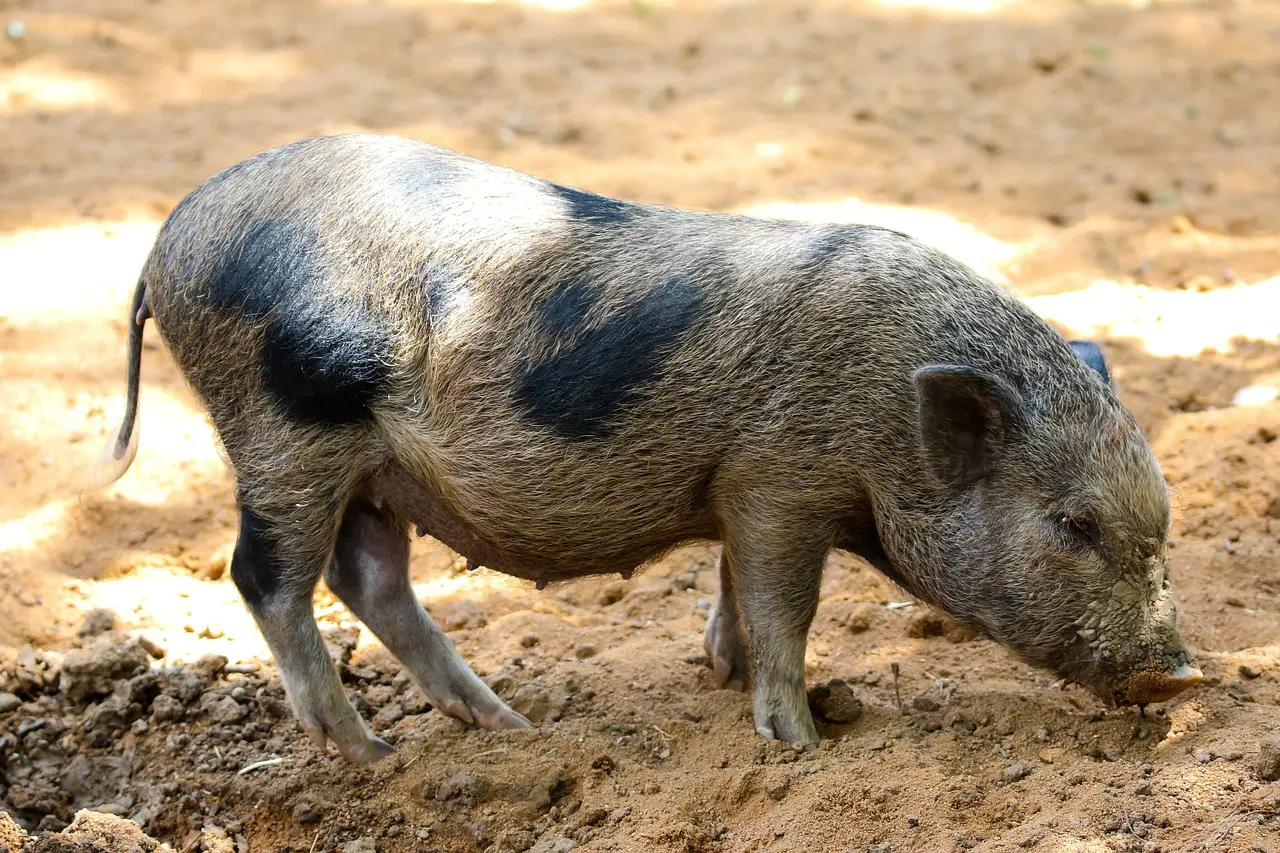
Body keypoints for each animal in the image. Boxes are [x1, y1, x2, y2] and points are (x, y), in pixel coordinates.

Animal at [90, 134, 1198, 763]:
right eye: (1071, 521)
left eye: (1161, 528)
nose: (1181, 676)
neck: (888, 404)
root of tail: (169, 238)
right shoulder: (780, 480)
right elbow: (782, 603)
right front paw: (800, 742)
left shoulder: (743, 490)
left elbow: (736, 589)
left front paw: (729, 677)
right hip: (286, 427)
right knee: (267, 576)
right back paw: (367, 752)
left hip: (372, 470)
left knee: (370, 580)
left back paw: (504, 727)